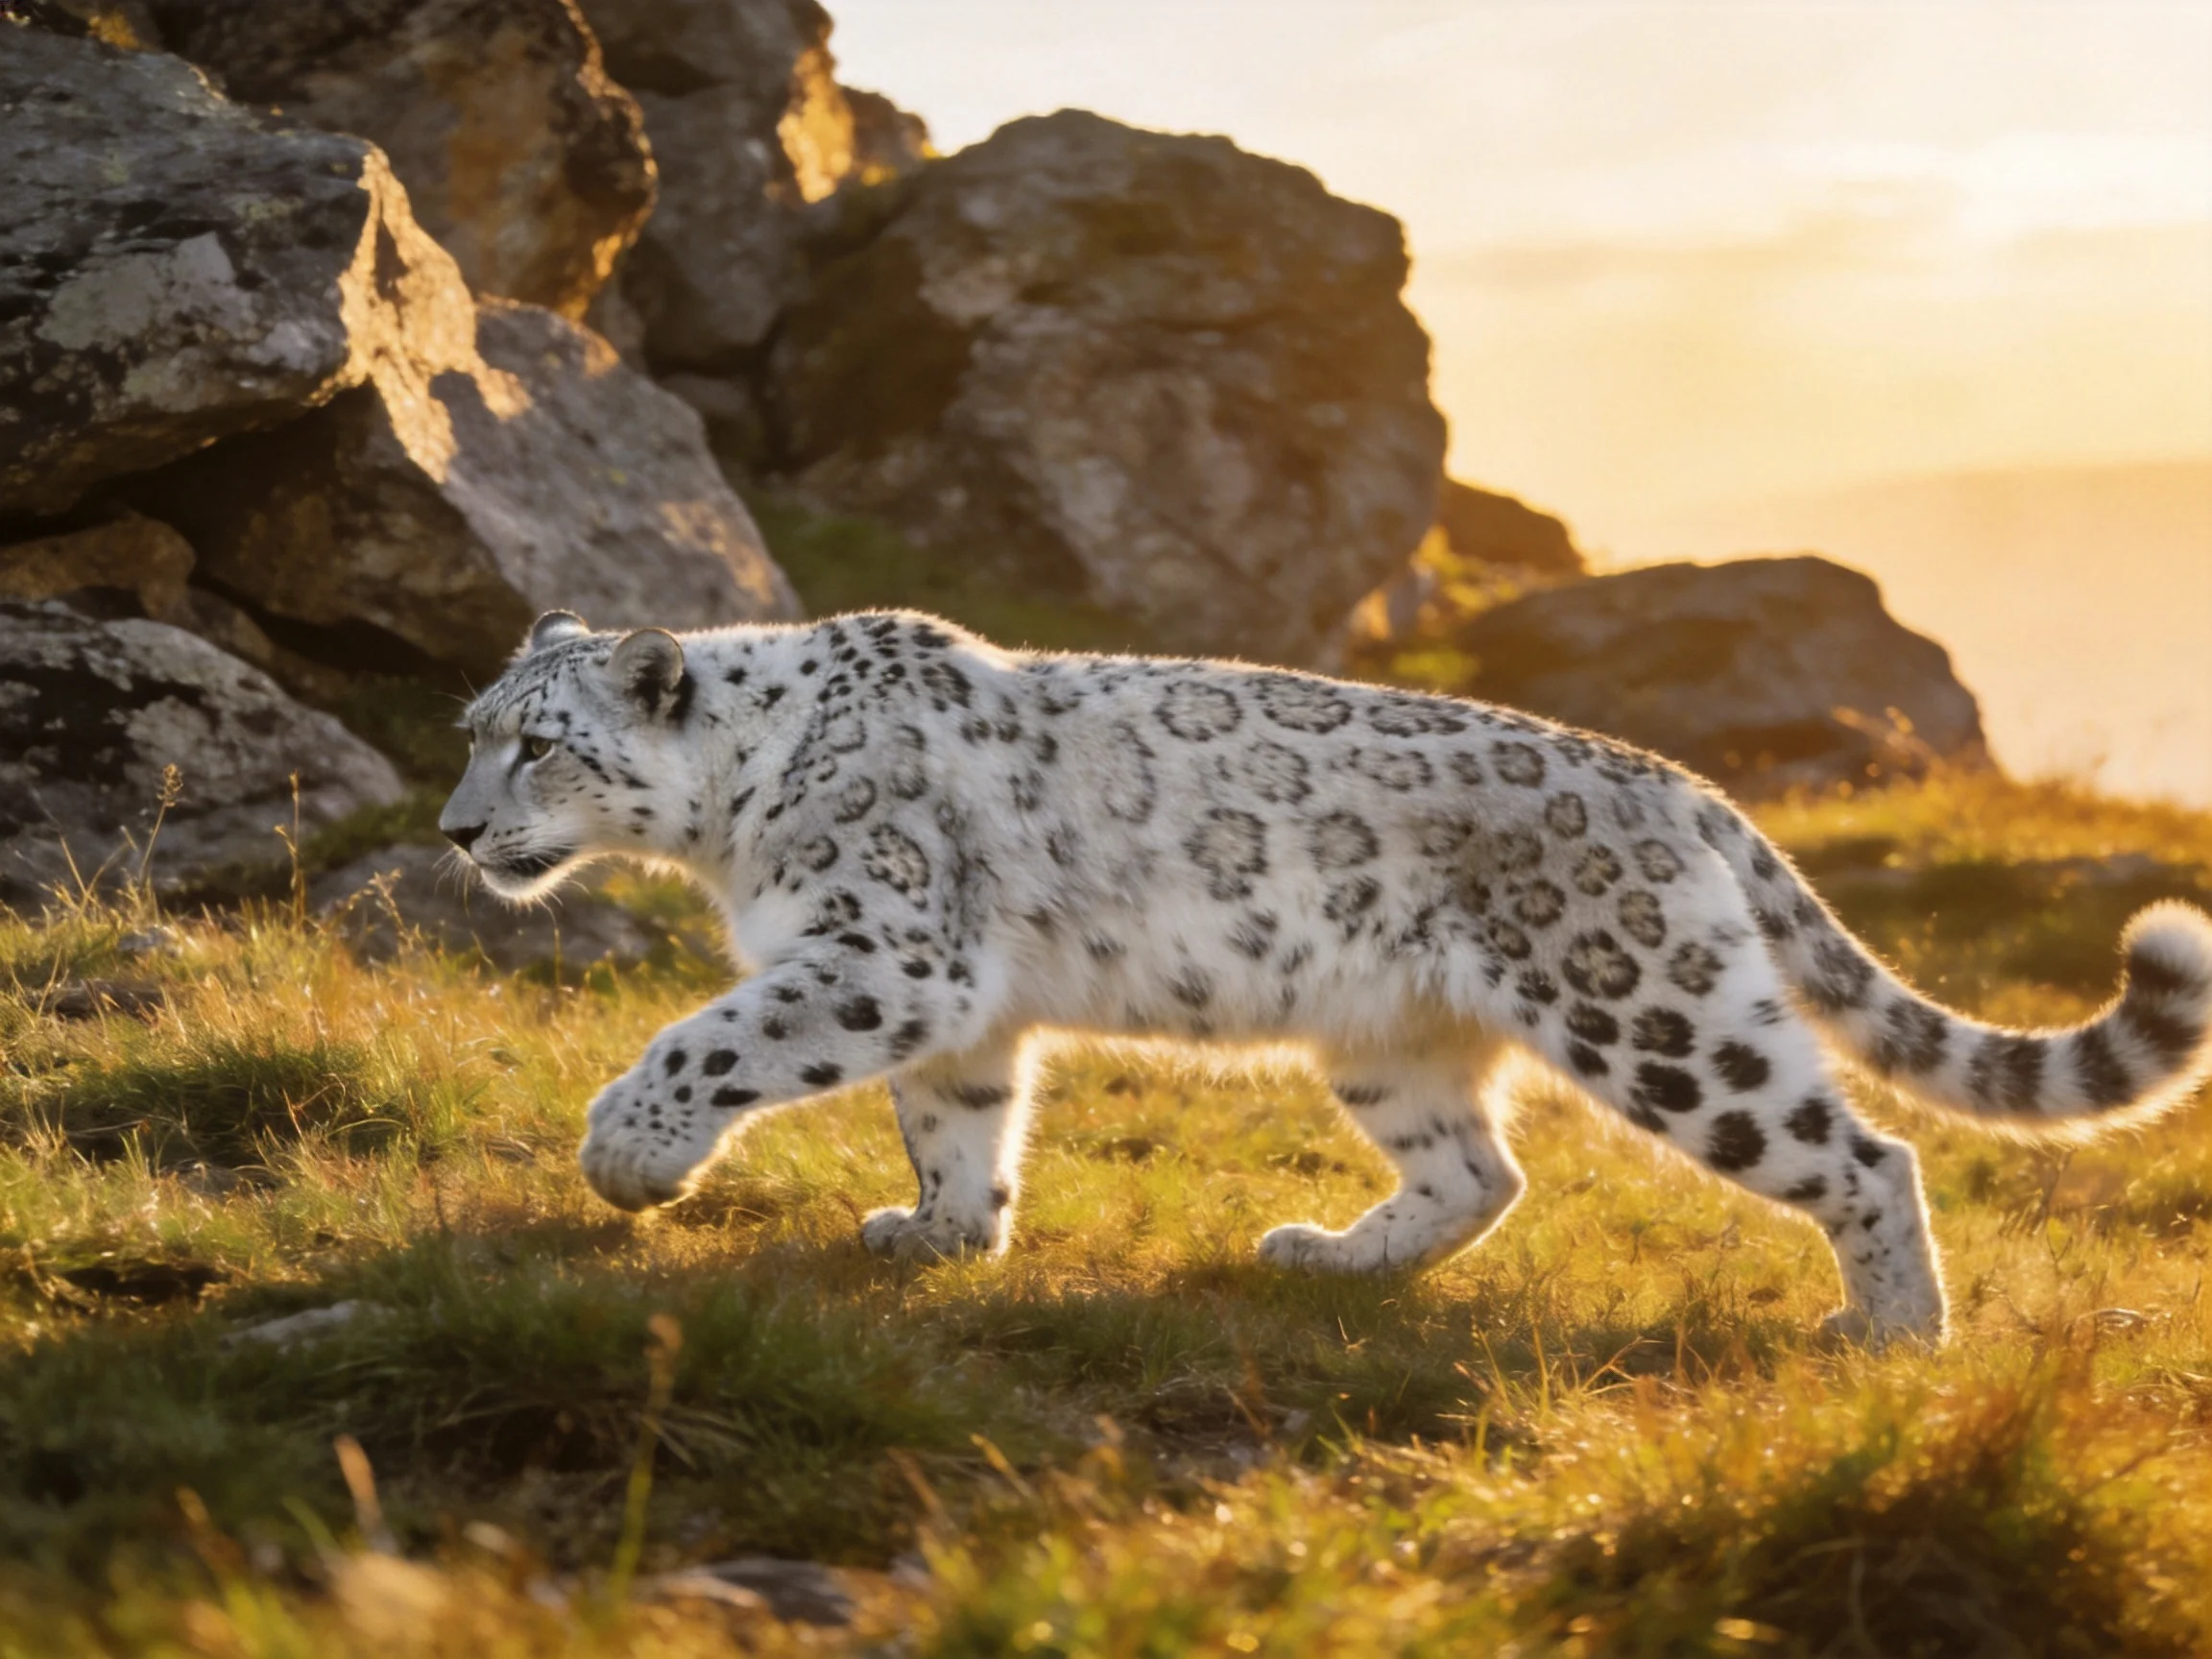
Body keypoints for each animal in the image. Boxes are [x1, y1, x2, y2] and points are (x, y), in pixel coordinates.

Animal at [438, 609, 2212, 1347]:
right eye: (470, 729)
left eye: (540, 745)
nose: (454, 828)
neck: (733, 831)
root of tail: (1683, 786)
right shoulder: (952, 1001)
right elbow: (955, 1121)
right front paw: (938, 1231)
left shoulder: (883, 947)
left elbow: (711, 1036)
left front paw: (627, 1156)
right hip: (1392, 1038)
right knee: (1479, 1172)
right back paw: (1324, 1256)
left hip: (1654, 1009)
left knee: (1862, 1150)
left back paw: (1891, 1333)